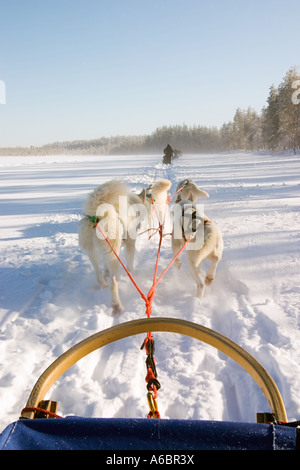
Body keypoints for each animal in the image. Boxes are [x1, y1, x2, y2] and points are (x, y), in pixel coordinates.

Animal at [78, 179, 171, 312]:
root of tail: (97, 216)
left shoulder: (104, 252)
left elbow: (105, 266)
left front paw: (106, 273)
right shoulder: (130, 244)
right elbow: (130, 262)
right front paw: (133, 272)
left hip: (93, 252)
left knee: (98, 274)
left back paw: (103, 283)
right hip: (114, 253)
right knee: (113, 282)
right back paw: (117, 305)